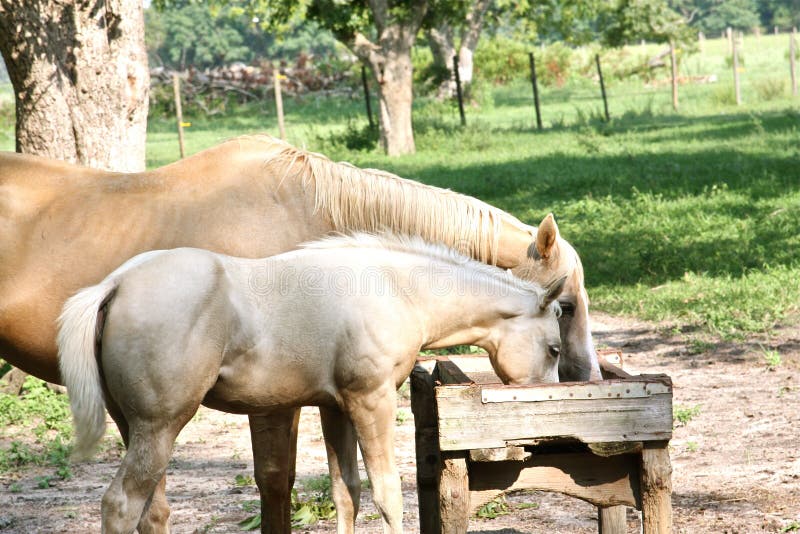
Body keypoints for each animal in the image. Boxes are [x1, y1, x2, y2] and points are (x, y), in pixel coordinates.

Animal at [59, 236, 564, 534]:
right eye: (555, 348)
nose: (543, 438)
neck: (395, 288)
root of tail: (116, 284)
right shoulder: (372, 401)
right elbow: (386, 493)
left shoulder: (335, 407)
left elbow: (347, 492)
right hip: (160, 428)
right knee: (121, 505)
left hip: (139, 430)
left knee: (151, 512)